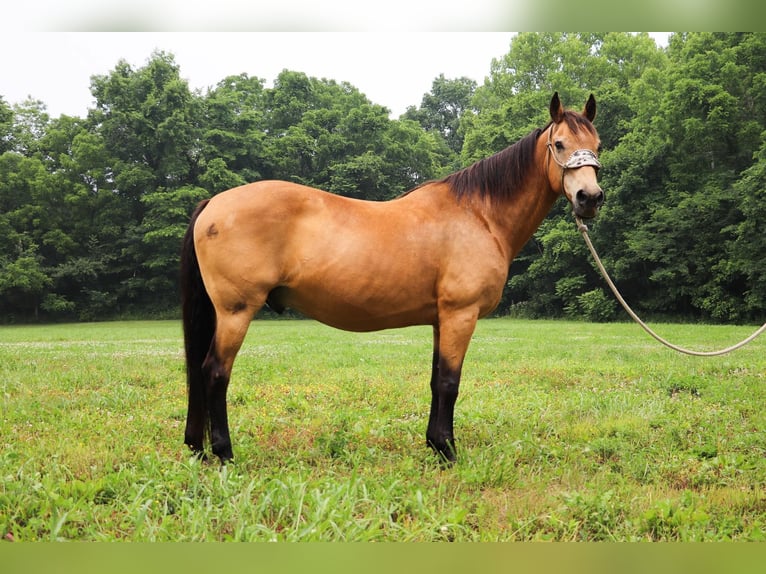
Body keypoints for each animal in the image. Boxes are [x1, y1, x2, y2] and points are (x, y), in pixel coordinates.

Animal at [182, 92, 608, 466]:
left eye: (598, 146)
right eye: (559, 144)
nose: (589, 197)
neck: (479, 215)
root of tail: (213, 202)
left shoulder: (441, 320)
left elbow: (436, 381)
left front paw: (436, 445)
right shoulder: (460, 315)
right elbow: (450, 382)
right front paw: (448, 453)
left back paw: (198, 449)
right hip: (236, 312)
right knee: (215, 373)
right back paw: (224, 453)